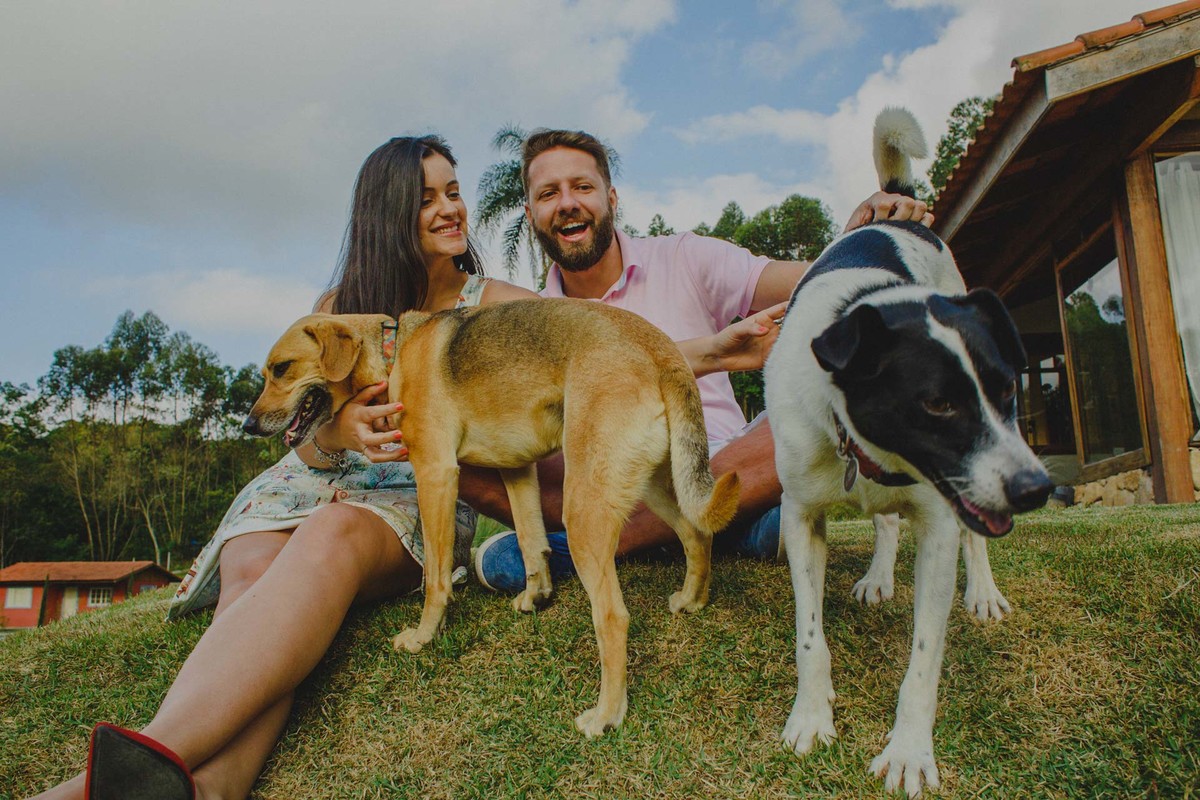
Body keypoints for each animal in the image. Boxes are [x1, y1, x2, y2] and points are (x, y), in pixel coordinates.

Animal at [243, 298, 740, 737]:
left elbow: (436, 577)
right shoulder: (517, 470)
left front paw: (424, 636)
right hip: (652, 482)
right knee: (697, 532)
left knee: (614, 616)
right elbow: (530, 541)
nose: (248, 426)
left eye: (281, 368)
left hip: (585, 510)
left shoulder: (436, 473)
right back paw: (692, 599)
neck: (393, 350)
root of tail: (663, 349)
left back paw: (606, 715)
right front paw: (536, 595)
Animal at [762, 107, 1052, 796]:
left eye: (1007, 389)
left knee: (972, 538)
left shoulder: (942, 520)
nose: (1037, 490)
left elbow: (924, 661)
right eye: (937, 404)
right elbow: (809, 638)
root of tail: (895, 211)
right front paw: (810, 716)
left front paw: (910, 751)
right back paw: (877, 575)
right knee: (886, 523)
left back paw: (983, 594)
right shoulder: (801, 518)